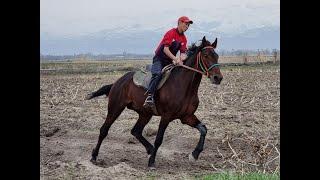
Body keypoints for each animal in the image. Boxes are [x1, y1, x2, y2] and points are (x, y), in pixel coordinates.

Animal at [86, 36, 224, 169]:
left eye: (217, 56)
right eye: (205, 55)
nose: (218, 78)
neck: (184, 86)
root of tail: (117, 82)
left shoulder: (187, 117)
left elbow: (203, 129)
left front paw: (194, 154)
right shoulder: (166, 116)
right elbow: (159, 139)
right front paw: (152, 162)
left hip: (145, 113)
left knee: (135, 131)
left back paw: (150, 150)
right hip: (115, 107)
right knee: (104, 130)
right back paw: (94, 156)